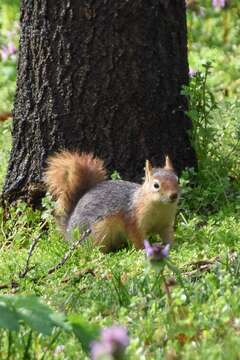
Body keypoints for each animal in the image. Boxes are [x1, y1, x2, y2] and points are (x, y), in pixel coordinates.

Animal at [44, 150, 180, 252]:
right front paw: (144, 250)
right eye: (156, 185)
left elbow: (167, 235)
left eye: (177, 180)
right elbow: (137, 238)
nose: (174, 195)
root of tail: (69, 231)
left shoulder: (165, 223)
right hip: (98, 231)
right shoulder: (133, 219)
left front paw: (172, 246)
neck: (160, 207)